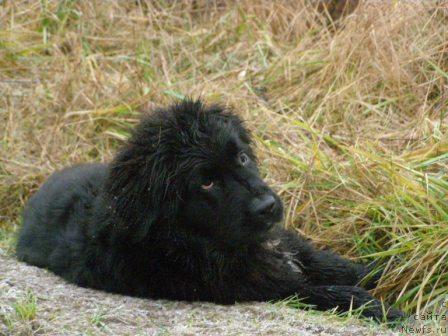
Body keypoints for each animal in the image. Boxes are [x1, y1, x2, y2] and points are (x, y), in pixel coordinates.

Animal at [16, 99, 402, 320]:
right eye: (206, 183)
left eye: (242, 157)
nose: (268, 208)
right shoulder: (254, 286)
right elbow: (320, 291)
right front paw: (382, 307)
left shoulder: (287, 244)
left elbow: (340, 266)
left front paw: (400, 274)